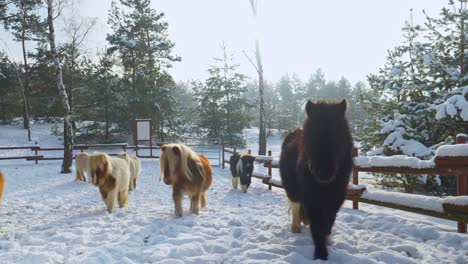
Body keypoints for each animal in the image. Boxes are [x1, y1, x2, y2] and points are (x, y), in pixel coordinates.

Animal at [280, 100, 352, 260]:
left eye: (339, 135)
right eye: (311, 136)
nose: (324, 173)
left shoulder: (336, 198)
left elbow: (328, 222)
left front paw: (327, 241)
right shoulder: (311, 199)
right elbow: (317, 227)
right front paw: (320, 255)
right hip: (293, 191)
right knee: (296, 207)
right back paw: (295, 229)